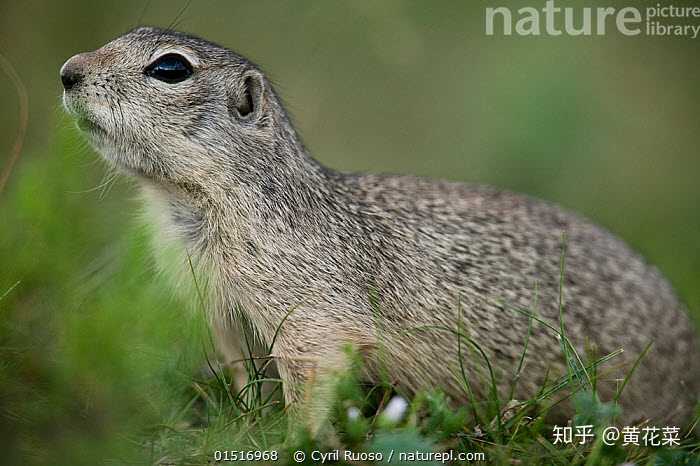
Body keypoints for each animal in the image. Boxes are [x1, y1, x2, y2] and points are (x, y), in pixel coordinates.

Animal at [63, 27, 696, 428]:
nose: (68, 71)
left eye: (169, 68)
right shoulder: (224, 315)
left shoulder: (310, 312)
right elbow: (244, 375)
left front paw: (297, 438)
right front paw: (245, 419)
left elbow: (312, 379)